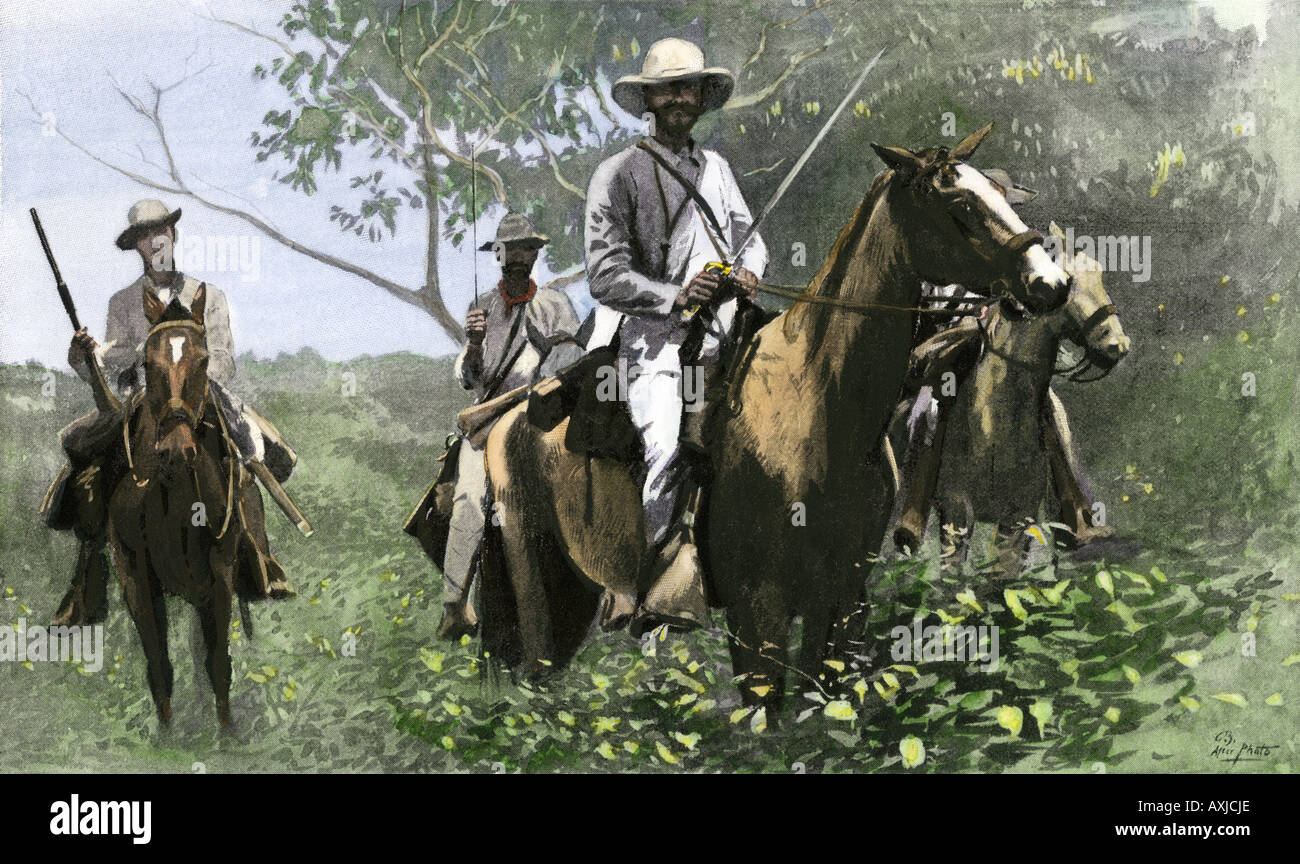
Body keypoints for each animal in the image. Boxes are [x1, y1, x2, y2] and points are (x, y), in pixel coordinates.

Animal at [105, 284, 266, 727]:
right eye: (147, 362)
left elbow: (218, 664)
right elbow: (159, 665)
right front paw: (167, 732)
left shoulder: (219, 574)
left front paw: (226, 732)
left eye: (204, 359)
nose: (177, 451)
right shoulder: (136, 576)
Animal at [483, 122, 1071, 711]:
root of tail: (505, 420)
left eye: (995, 192)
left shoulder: (843, 599)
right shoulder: (756, 610)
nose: (1051, 282)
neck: (819, 405)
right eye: (960, 203)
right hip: (537, 590)